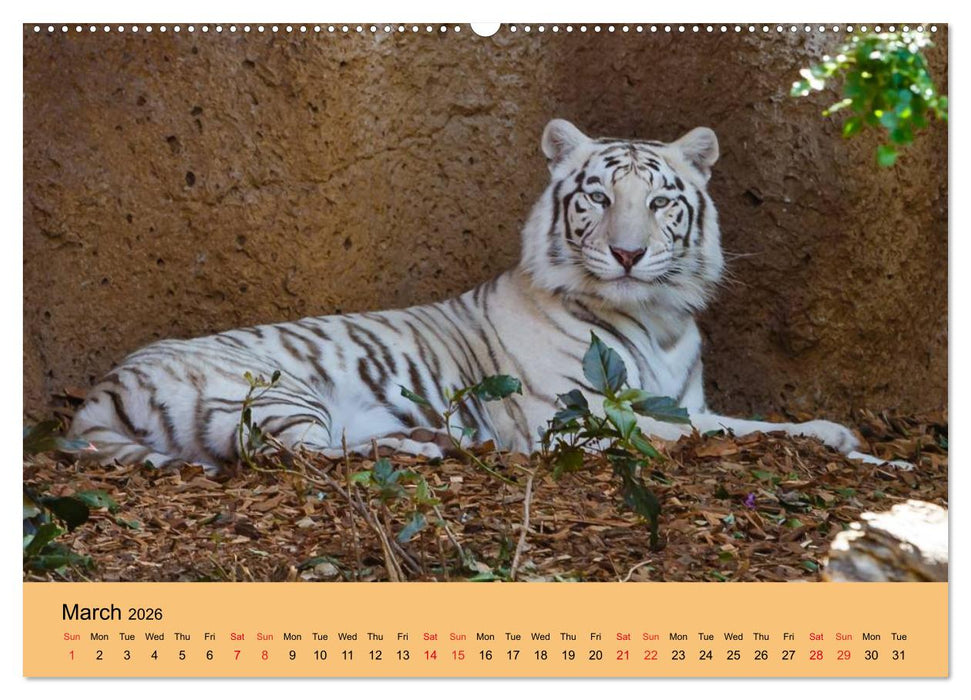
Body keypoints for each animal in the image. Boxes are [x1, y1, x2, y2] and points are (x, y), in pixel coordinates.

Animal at [69, 118, 889, 470]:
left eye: (660, 202)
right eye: (597, 196)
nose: (627, 253)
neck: (653, 319)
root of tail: (101, 392)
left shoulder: (678, 399)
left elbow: (742, 422)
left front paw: (851, 443)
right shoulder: (581, 419)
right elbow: (719, 434)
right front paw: (854, 448)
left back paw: (441, 442)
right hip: (275, 390)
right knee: (303, 455)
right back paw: (430, 449)